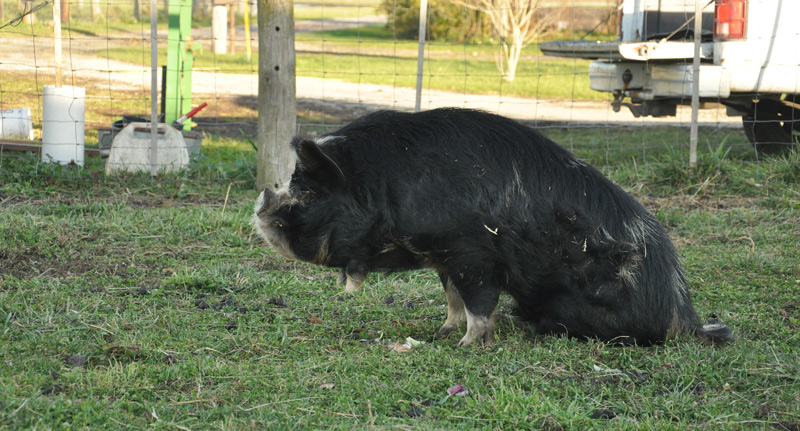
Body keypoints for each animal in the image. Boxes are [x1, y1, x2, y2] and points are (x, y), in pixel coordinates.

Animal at [253, 108, 732, 347]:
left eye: (308, 191)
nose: (261, 201)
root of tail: (685, 318)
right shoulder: (444, 257)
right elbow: (452, 299)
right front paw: (441, 334)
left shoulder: (473, 253)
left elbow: (479, 305)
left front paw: (466, 345)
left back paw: (526, 323)